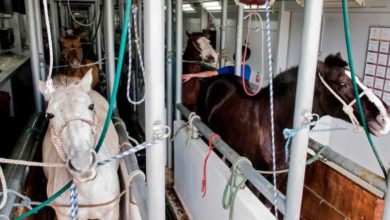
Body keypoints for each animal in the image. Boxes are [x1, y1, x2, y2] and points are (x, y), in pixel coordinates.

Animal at [187, 52, 390, 192]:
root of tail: (214, 80)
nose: (384, 116)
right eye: (342, 84)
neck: (273, 125)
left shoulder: (279, 179)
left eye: (360, 79)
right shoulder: (258, 179)